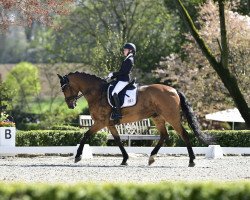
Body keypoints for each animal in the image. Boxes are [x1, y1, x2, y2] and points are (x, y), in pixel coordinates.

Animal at [57, 71, 212, 166]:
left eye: (64, 88)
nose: (70, 105)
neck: (97, 92)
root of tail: (174, 90)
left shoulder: (100, 122)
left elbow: (85, 135)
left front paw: (78, 156)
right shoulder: (109, 123)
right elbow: (118, 140)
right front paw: (125, 159)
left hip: (171, 117)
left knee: (183, 134)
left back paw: (191, 160)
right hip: (157, 117)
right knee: (164, 135)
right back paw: (151, 157)